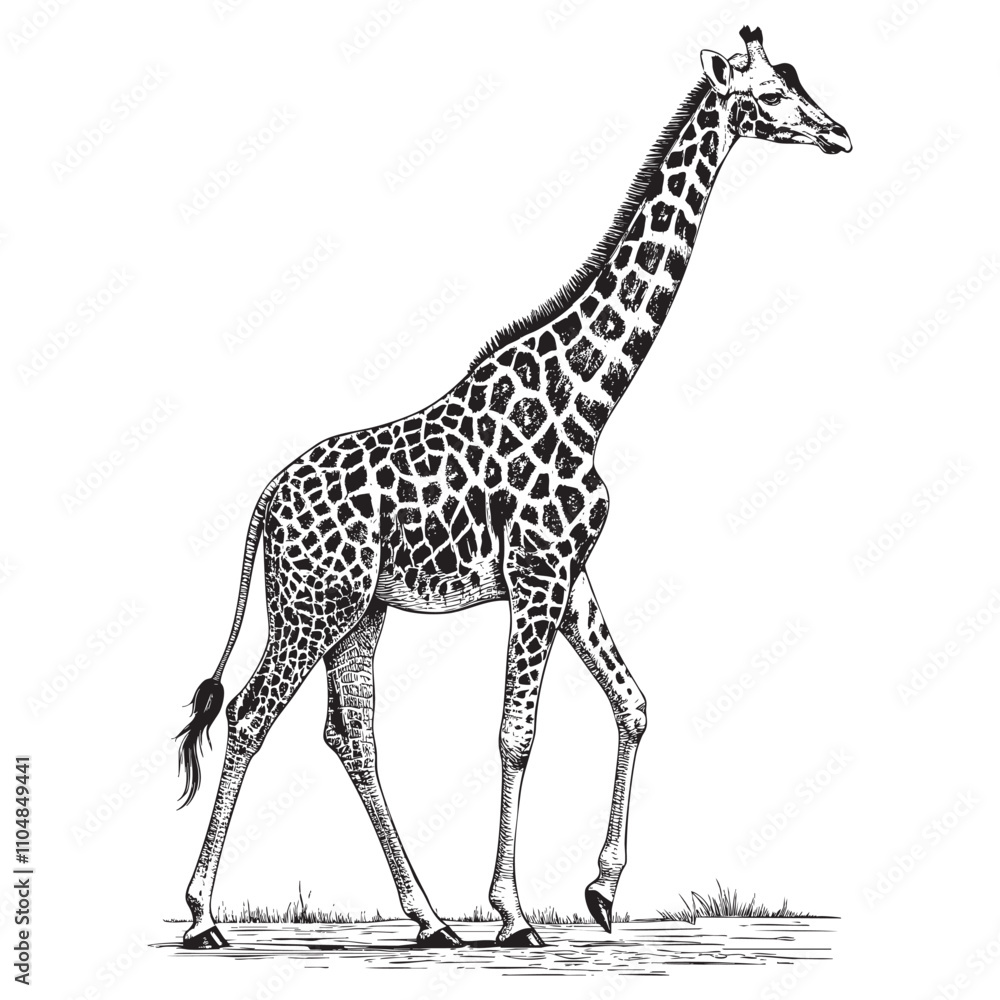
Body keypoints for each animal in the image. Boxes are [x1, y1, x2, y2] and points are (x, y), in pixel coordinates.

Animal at [176, 26, 850, 950]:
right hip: (312, 607)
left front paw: (600, 891)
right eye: (774, 95)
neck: (591, 396)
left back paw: (429, 918)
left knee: (352, 738)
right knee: (249, 718)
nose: (839, 134)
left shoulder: (568, 573)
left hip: (360, 613)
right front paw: (513, 911)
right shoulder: (536, 575)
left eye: (795, 78)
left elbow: (634, 703)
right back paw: (204, 914)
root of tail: (263, 504)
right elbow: (517, 734)